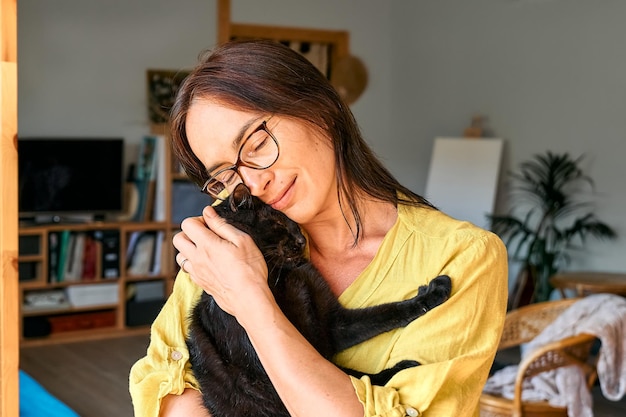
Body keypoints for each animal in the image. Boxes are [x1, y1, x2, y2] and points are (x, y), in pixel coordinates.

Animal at [184, 186, 448, 416]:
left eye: (297, 224)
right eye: (278, 223)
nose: (302, 240)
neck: (283, 276)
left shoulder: (333, 324)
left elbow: (386, 313)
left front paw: (432, 294)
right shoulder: (267, 371)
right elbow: (355, 377)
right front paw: (398, 370)